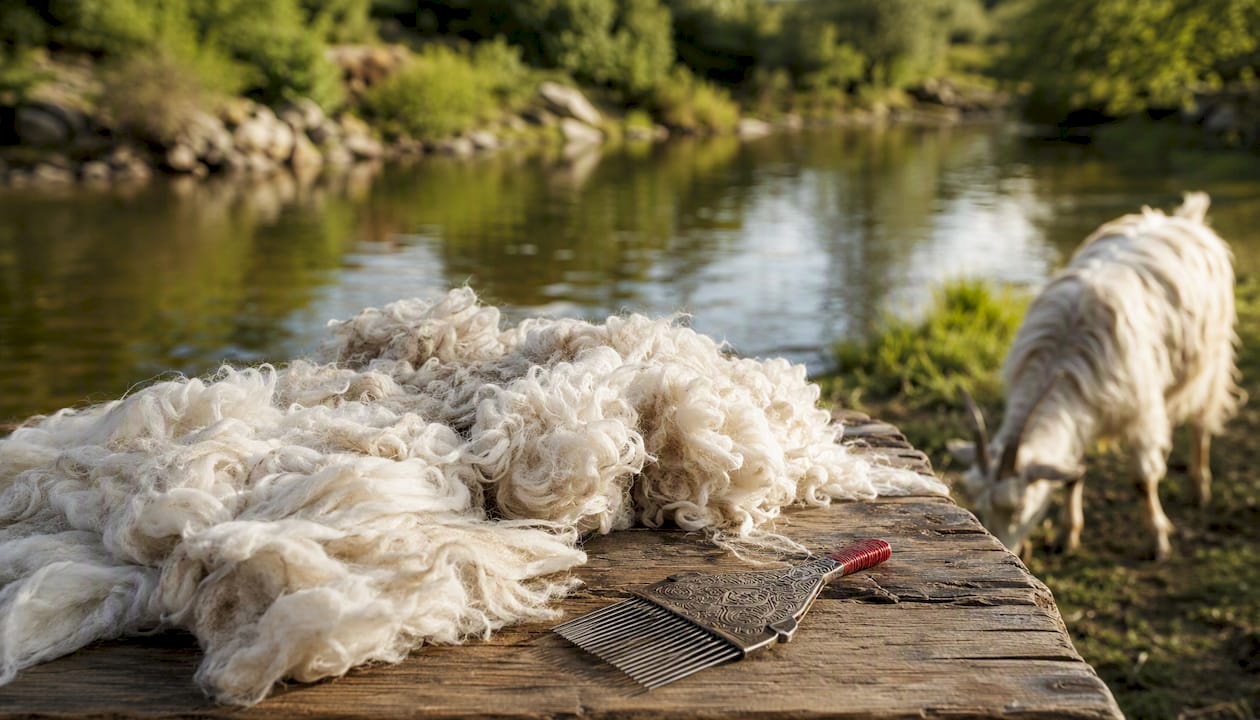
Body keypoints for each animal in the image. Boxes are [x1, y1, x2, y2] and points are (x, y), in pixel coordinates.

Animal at [948, 192, 1242, 560]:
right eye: (979, 507)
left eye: (1020, 508)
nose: (1010, 550)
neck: (1064, 353)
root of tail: (1185, 218)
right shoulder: (1081, 415)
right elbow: (1073, 474)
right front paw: (1066, 535)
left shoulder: (1142, 414)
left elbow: (1143, 479)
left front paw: (1157, 540)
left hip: (1212, 356)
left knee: (1202, 419)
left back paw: (1199, 487)